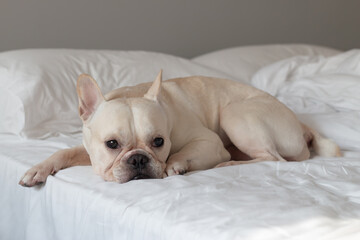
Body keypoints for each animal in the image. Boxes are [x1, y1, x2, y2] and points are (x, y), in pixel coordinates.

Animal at [19, 70, 340, 187]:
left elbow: (181, 154)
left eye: (159, 141)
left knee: (273, 158)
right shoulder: (88, 151)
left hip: (234, 115)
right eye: (112, 144)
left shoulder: (209, 142)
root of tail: (301, 125)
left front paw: (176, 164)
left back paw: (229, 163)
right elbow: (64, 152)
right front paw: (38, 169)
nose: (138, 159)